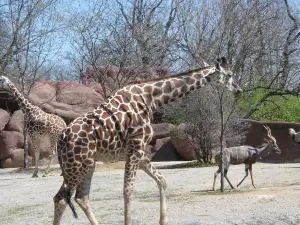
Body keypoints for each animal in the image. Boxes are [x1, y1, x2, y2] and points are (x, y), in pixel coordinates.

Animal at [52, 57, 243, 225]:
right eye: (229, 74)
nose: (239, 90)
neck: (151, 98)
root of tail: (61, 140)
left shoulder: (140, 152)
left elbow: (162, 180)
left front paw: (164, 221)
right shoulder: (135, 147)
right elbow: (128, 191)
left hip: (87, 164)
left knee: (80, 197)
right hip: (76, 166)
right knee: (61, 198)